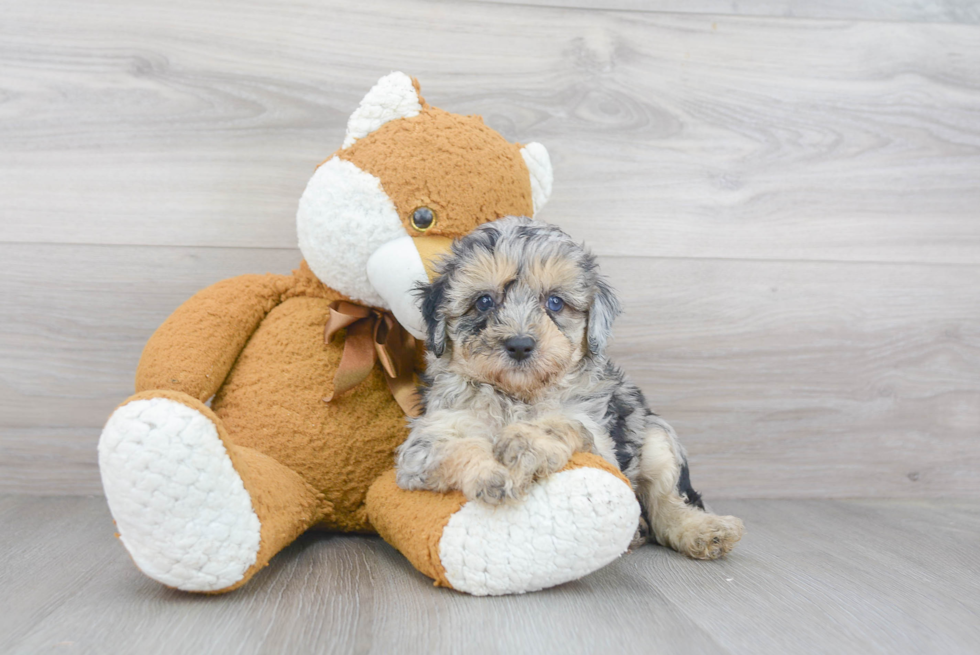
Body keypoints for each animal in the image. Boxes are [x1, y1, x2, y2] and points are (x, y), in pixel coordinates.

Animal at [392, 218, 744, 560]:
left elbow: (562, 424)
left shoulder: (601, 445)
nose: (520, 345)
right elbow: (455, 447)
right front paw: (492, 471)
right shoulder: (424, 444)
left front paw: (528, 441)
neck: (517, 396)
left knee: (666, 500)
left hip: (656, 437)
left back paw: (703, 531)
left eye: (555, 302)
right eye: (484, 301)